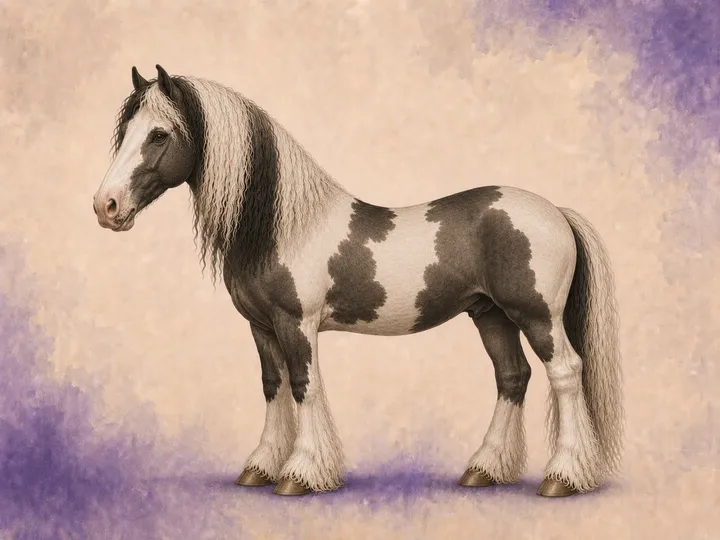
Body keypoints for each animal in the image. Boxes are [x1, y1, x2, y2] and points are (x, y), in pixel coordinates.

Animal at [92, 65, 624, 498]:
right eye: (125, 132)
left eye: (159, 134)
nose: (106, 207)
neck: (284, 225)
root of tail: (555, 212)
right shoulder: (261, 327)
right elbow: (273, 385)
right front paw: (260, 468)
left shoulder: (296, 324)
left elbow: (304, 385)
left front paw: (300, 474)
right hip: (489, 315)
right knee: (512, 377)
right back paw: (484, 470)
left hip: (537, 316)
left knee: (566, 374)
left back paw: (562, 477)